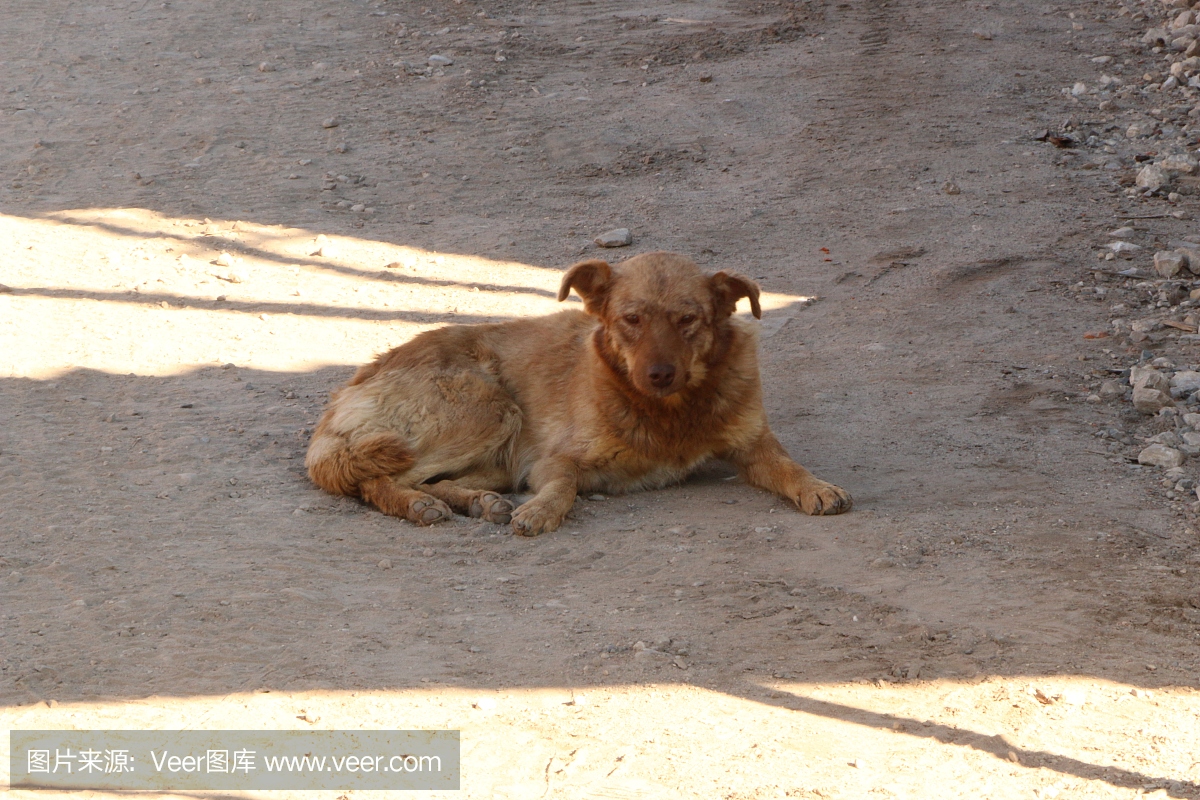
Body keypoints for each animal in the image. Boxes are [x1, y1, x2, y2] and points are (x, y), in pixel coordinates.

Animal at [309, 250, 854, 537]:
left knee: (430, 480)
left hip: (496, 452)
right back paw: (418, 505)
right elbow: (565, 485)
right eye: (631, 319)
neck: (669, 413)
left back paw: (478, 502)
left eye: (687, 319)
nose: (660, 374)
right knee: (370, 479)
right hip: (489, 410)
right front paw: (542, 510)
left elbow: (789, 466)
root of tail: (348, 388)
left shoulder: (753, 444)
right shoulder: (554, 460)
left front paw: (817, 486)